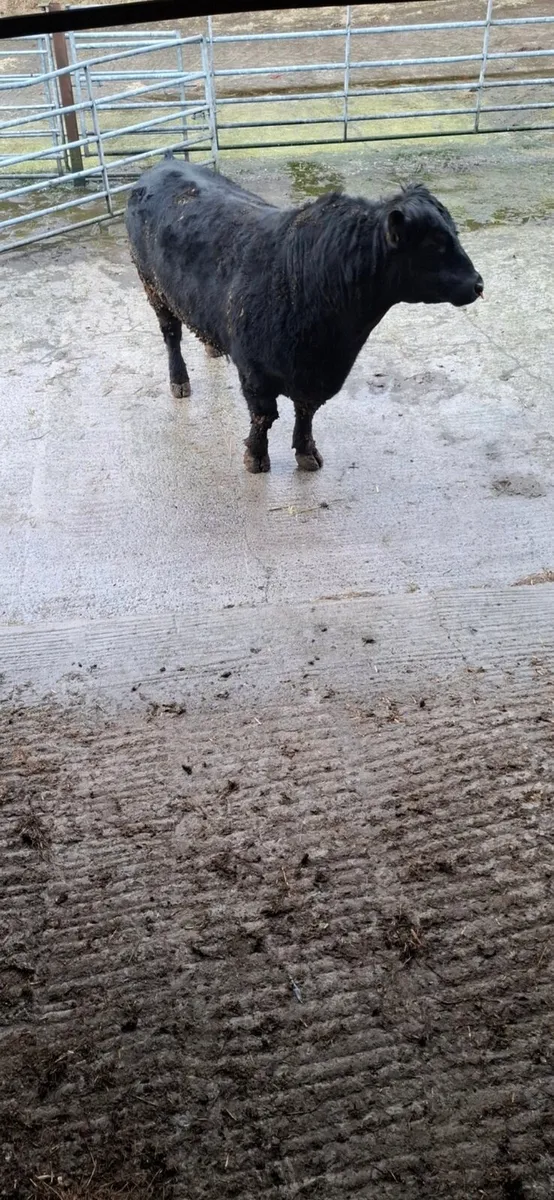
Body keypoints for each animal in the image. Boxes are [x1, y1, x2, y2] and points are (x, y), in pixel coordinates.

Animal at [125, 156, 483, 474]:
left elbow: (306, 412)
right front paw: (256, 458)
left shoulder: (317, 374)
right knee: (171, 334)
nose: (478, 283)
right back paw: (179, 381)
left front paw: (307, 452)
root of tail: (164, 164)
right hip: (153, 288)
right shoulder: (255, 372)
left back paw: (212, 347)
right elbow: (264, 417)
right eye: (435, 244)